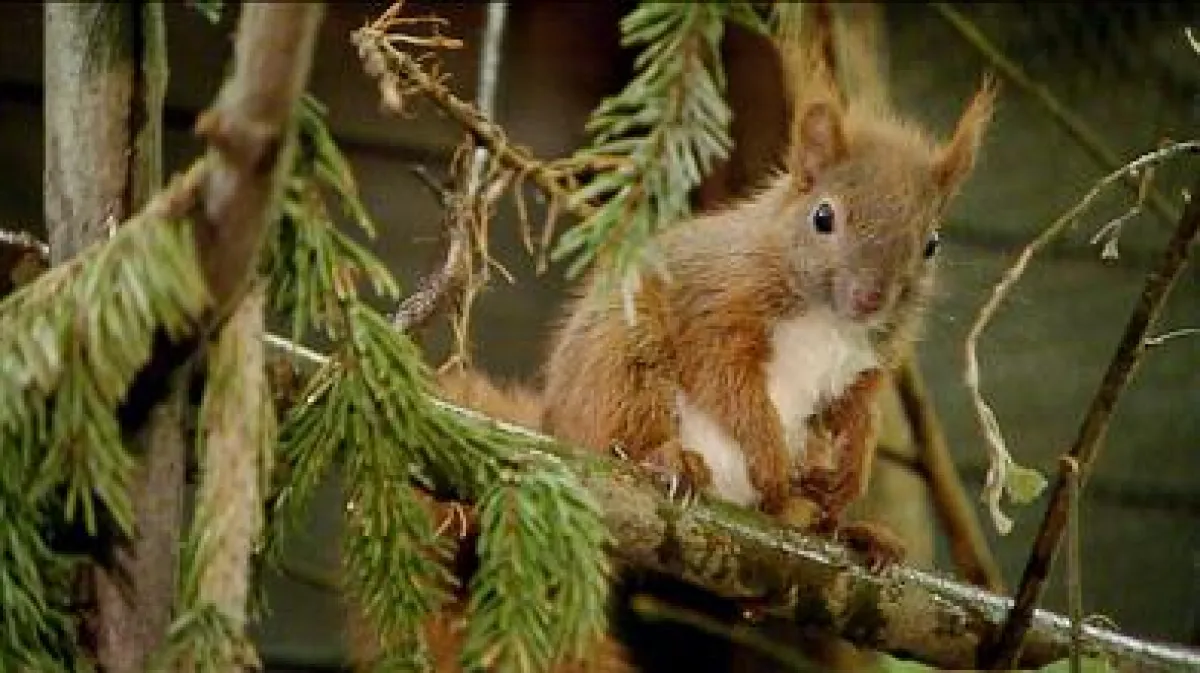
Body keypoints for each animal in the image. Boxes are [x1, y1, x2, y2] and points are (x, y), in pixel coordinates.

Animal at [541, 51, 995, 561]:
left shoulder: (868, 365)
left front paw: (852, 472)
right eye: (823, 217)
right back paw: (670, 460)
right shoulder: (717, 307)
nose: (869, 298)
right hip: (622, 359)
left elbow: (859, 411)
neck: (829, 321)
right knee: (618, 427)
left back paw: (852, 531)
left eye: (932, 244)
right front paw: (770, 458)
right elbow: (728, 382)